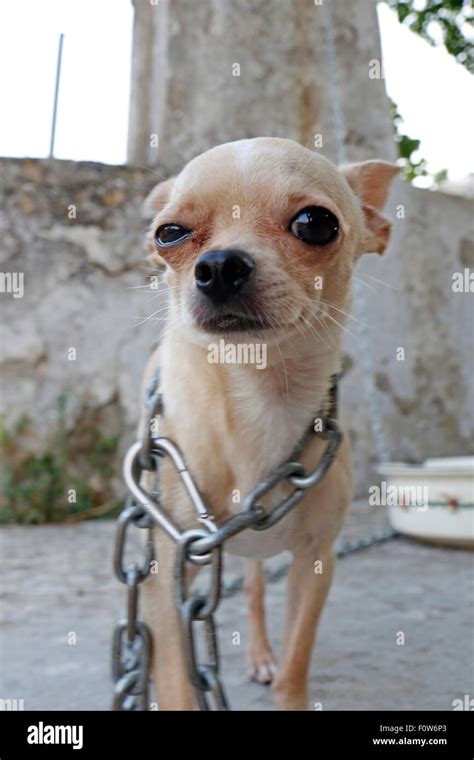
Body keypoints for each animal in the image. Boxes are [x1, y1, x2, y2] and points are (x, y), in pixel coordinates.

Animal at [139, 135, 398, 708]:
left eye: (314, 223)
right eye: (169, 233)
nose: (218, 265)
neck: (258, 400)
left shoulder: (316, 563)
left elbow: (295, 664)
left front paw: (286, 683)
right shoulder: (166, 577)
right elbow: (176, 682)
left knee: (256, 590)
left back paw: (260, 654)